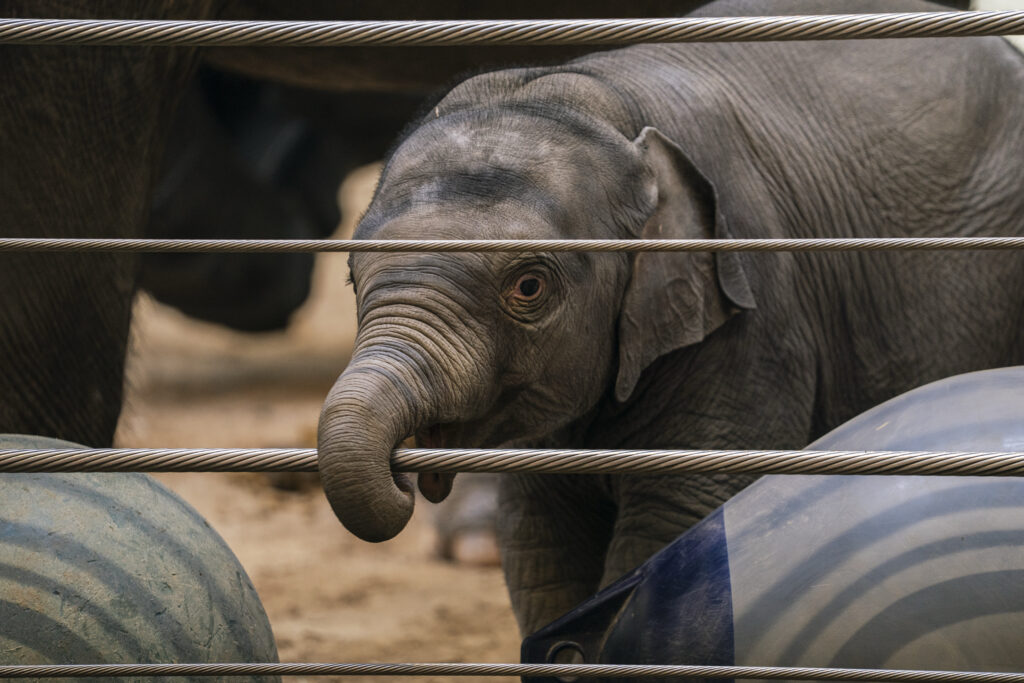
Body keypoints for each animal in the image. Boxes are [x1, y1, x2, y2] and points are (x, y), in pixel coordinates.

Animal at [315, 0, 1024, 635]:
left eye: (528, 285)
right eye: (351, 275)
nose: (408, 476)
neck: (597, 99)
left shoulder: (753, 323)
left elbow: (672, 523)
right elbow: (542, 547)